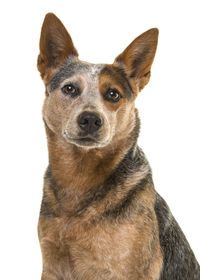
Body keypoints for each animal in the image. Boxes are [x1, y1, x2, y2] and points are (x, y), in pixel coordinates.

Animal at [36, 12, 199, 278]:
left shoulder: (130, 270)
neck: (79, 179)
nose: (90, 119)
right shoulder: (51, 264)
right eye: (70, 88)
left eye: (113, 94)